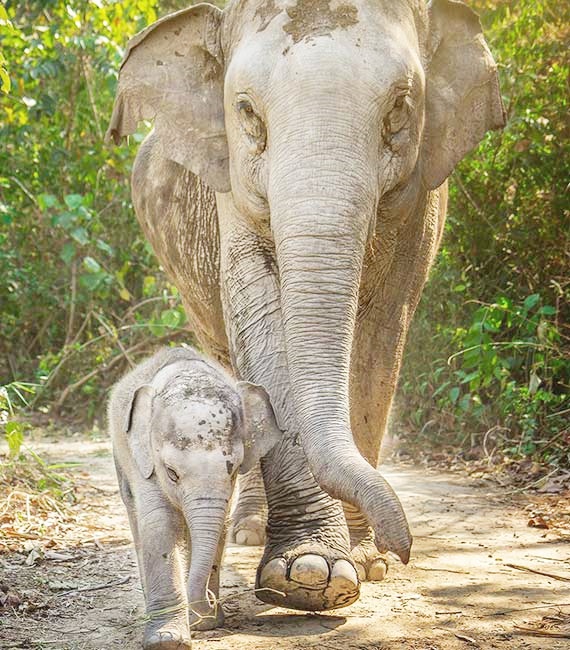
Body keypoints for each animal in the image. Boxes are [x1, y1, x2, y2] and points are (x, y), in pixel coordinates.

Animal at [106, 0, 502, 612]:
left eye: (400, 107)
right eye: (246, 110)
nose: (404, 547)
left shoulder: (422, 200)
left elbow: (380, 340)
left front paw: (364, 560)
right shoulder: (230, 195)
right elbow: (261, 320)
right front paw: (308, 574)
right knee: (226, 356)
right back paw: (249, 530)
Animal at [107, 346, 280, 644]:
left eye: (234, 469)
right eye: (171, 473)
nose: (209, 601)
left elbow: (219, 527)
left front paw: (204, 623)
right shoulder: (145, 464)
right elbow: (160, 524)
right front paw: (167, 640)